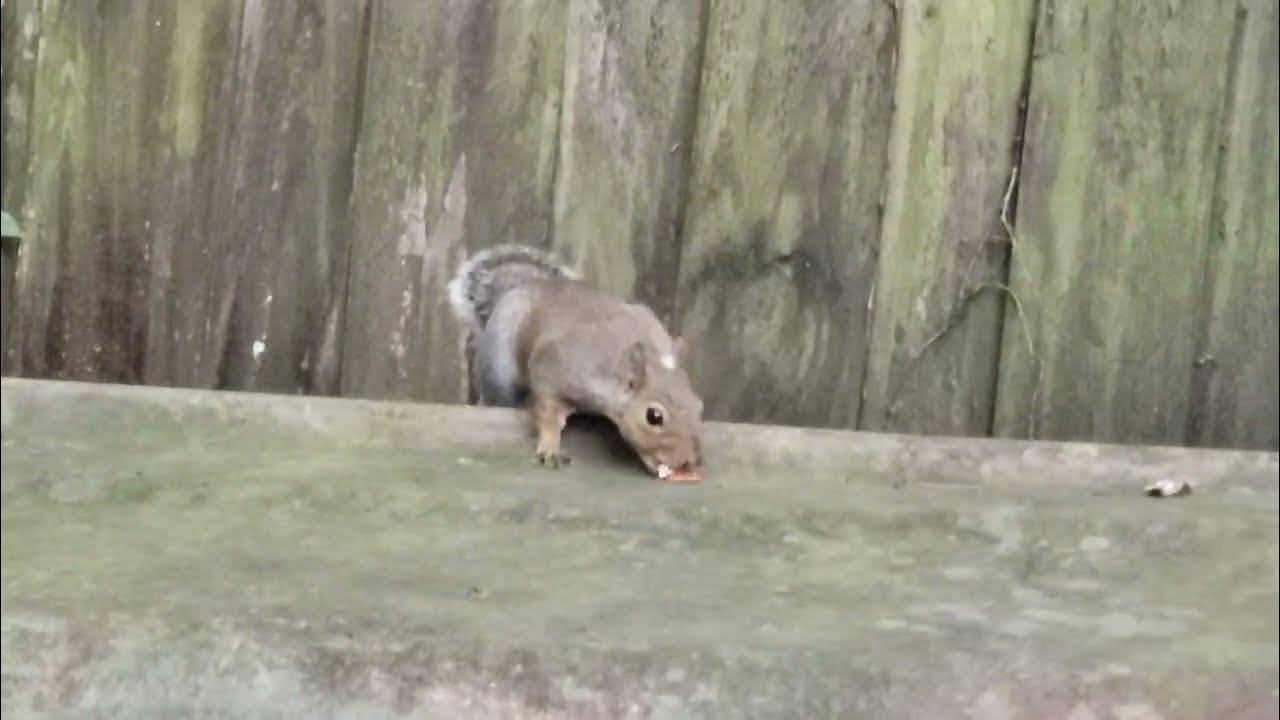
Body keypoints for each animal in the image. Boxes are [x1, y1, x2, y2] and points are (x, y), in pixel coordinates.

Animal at [447, 245, 704, 482]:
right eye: (654, 416)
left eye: (699, 406)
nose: (689, 461)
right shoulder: (553, 365)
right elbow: (549, 411)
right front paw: (550, 447)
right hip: (499, 371)